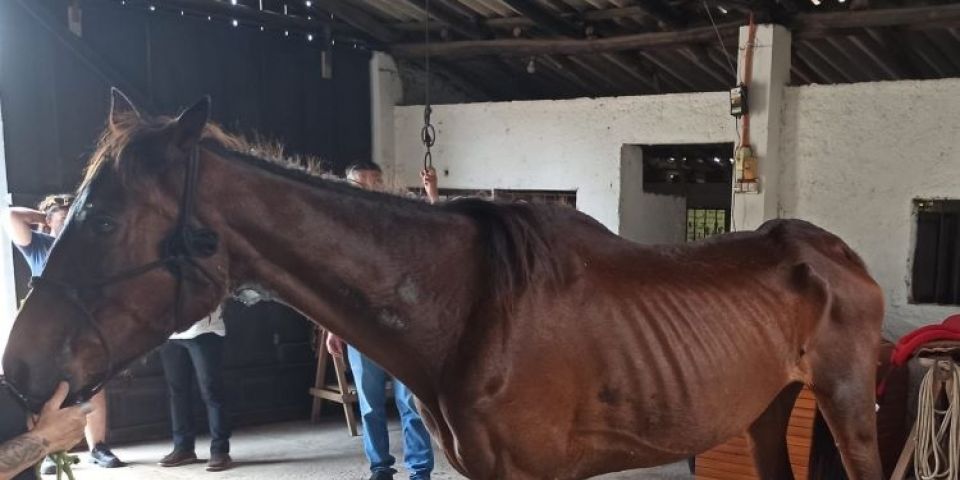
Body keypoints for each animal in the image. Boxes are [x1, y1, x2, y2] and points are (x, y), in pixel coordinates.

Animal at [1, 91, 884, 480]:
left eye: (103, 222)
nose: (21, 370)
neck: (466, 307)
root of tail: (839, 255)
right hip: (768, 411)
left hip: (848, 408)